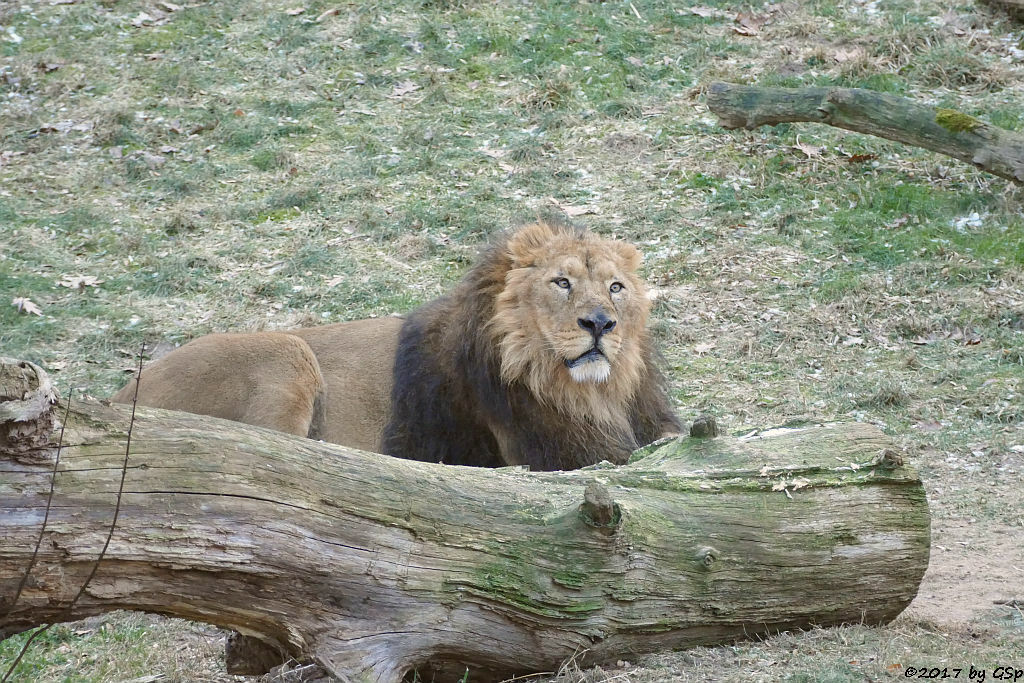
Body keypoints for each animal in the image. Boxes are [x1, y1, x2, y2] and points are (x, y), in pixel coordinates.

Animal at [112, 222, 675, 473]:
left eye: (615, 288)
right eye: (562, 283)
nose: (600, 323)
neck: (587, 392)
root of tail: (115, 398)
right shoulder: (557, 455)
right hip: (288, 352)